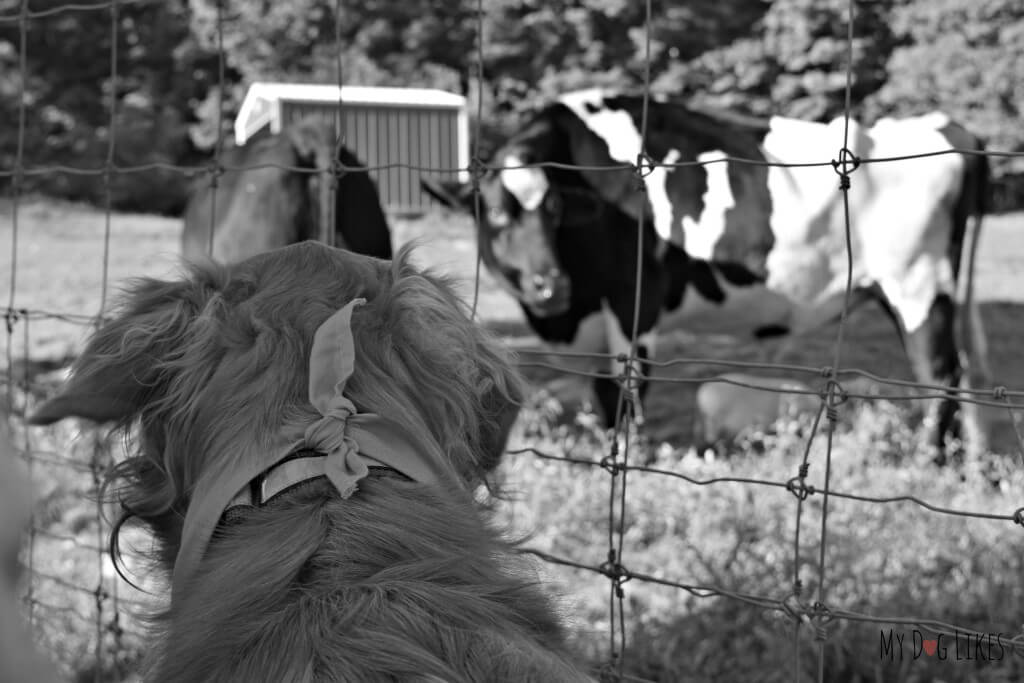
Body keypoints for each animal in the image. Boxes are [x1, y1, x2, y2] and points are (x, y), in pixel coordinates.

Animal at [419, 89, 987, 454]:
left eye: (556, 211)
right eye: (495, 214)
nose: (550, 284)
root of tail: (947, 126)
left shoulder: (635, 301)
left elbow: (629, 390)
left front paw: (628, 459)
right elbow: (603, 394)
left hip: (916, 286)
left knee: (939, 376)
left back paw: (930, 459)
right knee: (956, 375)